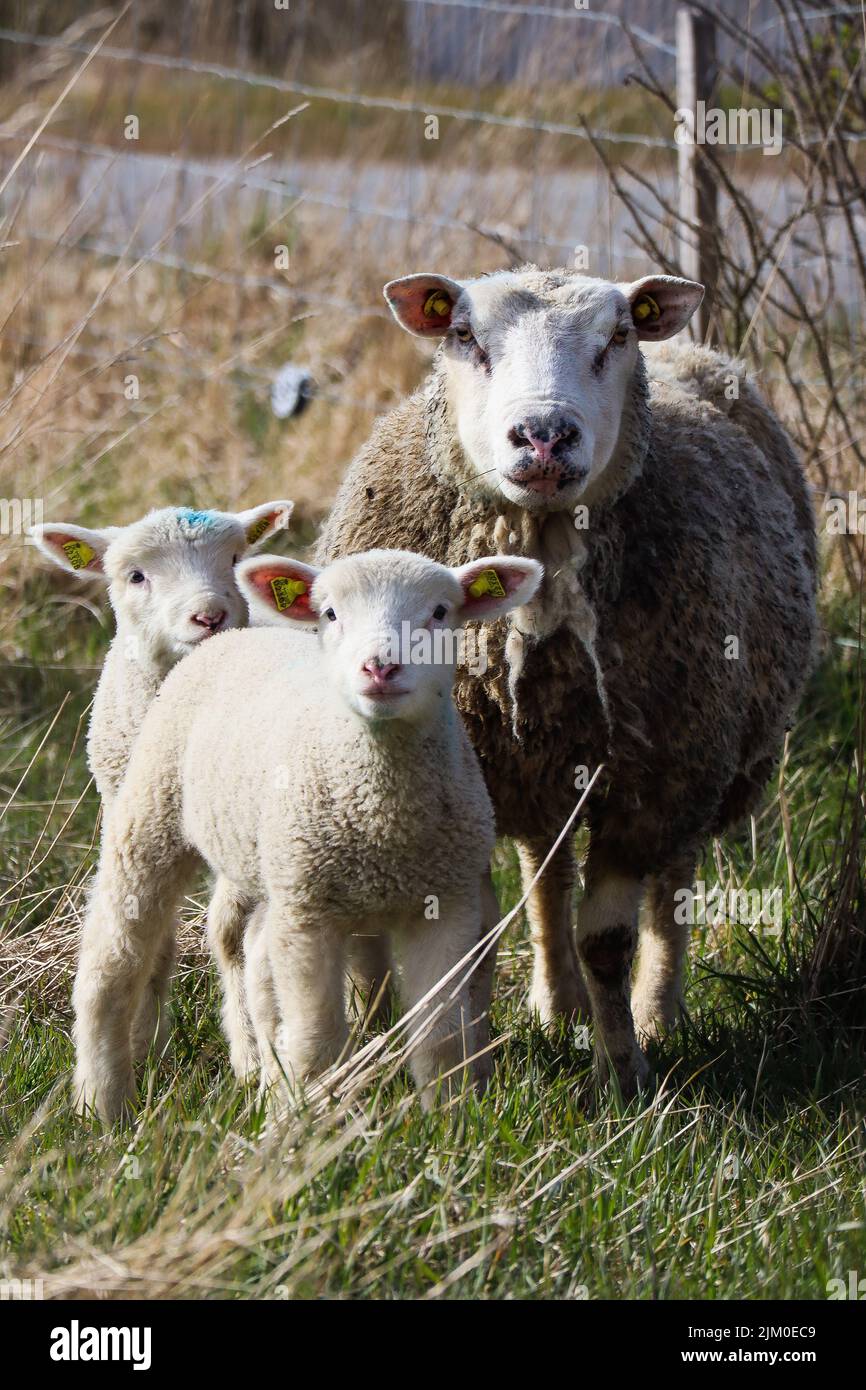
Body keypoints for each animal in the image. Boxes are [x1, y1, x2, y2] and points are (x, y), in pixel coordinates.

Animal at [31, 500, 293, 1060]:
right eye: (136, 576)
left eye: (234, 559)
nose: (210, 616)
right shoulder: (126, 809)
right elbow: (157, 937)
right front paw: (146, 1045)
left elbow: (228, 932)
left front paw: (247, 1050)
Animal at [70, 545, 542, 1121]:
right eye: (331, 613)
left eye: (439, 612)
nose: (380, 667)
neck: (383, 815)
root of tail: (235, 634)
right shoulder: (308, 913)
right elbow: (317, 1038)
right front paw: (313, 1121)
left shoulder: (446, 904)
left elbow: (441, 1039)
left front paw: (449, 1121)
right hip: (150, 810)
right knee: (111, 961)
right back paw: (101, 1104)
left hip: (269, 861)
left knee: (252, 953)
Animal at [316, 265, 819, 1097]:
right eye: (464, 335)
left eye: (617, 335)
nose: (544, 434)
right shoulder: (473, 772)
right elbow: (474, 938)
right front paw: (475, 1066)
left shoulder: (654, 783)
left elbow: (610, 939)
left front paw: (624, 1076)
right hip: (541, 769)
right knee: (545, 875)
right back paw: (559, 1005)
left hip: (698, 760)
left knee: (670, 889)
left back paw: (655, 1012)